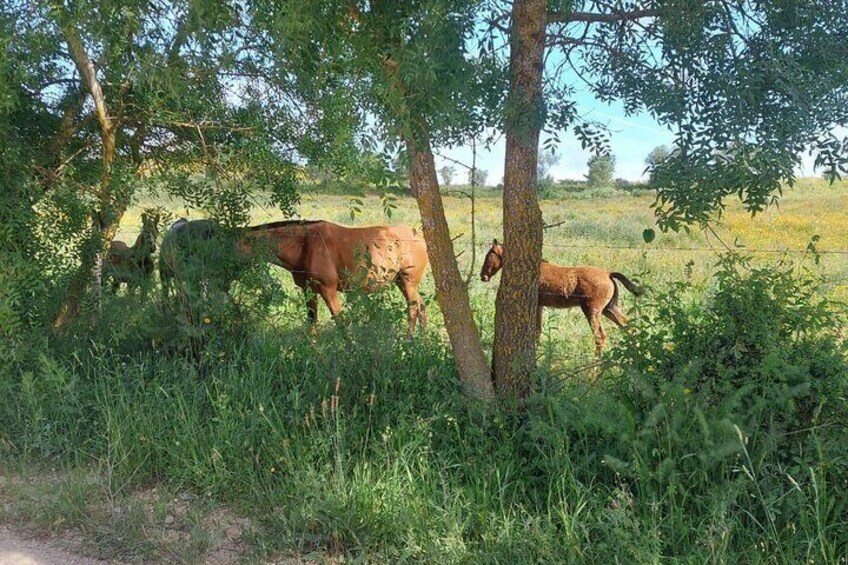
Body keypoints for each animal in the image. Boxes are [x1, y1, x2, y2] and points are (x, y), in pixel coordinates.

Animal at [242, 219, 430, 334]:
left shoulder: (328, 289)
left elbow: (340, 322)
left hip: (408, 282)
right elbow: (312, 321)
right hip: (401, 283)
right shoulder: (309, 290)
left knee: (413, 309)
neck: (305, 243)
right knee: (421, 306)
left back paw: (409, 341)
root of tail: (420, 238)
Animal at [476, 240, 644, 354]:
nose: (483, 276)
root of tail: (608, 274)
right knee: (629, 327)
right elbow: (537, 330)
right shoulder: (539, 305)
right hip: (609, 309)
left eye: (489, 255)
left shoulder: (537, 304)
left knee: (600, 336)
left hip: (592, 310)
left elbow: (536, 330)